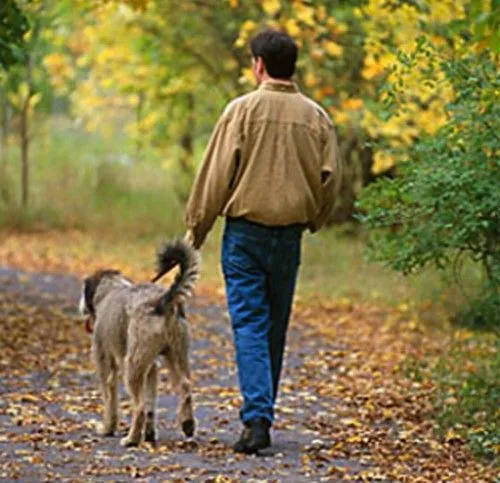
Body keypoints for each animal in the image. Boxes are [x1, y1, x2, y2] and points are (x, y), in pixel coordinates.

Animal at [78, 240, 199, 448]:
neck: (110, 290)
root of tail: (162, 302)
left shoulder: (105, 365)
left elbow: (110, 399)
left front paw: (107, 428)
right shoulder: (152, 368)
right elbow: (151, 403)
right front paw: (149, 434)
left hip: (132, 366)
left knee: (139, 406)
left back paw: (131, 439)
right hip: (176, 354)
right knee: (184, 387)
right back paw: (187, 423)